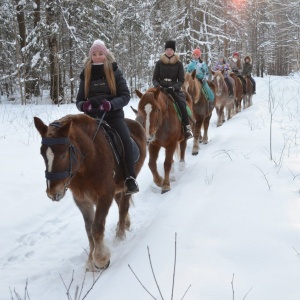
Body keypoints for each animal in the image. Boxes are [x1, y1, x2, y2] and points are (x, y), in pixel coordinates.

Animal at [34, 113, 146, 270]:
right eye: (43, 155)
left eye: (63, 155)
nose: (53, 193)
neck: (89, 160)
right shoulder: (82, 200)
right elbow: (89, 229)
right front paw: (90, 260)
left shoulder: (104, 196)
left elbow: (97, 228)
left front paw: (100, 260)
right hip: (117, 189)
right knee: (121, 206)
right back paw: (125, 225)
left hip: (126, 187)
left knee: (123, 208)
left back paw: (120, 236)